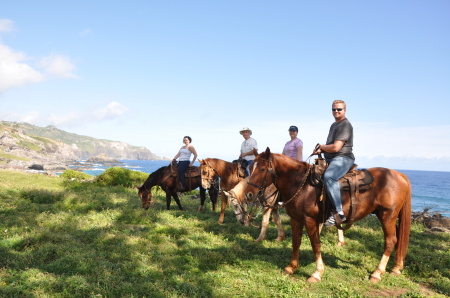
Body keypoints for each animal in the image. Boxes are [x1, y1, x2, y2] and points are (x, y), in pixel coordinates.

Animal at [243, 148, 412, 282]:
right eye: (251, 167)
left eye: (262, 169)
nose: (249, 194)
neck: (301, 184)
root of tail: (400, 174)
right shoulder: (295, 219)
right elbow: (296, 242)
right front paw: (291, 267)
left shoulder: (310, 220)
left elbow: (315, 244)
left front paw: (317, 273)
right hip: (390, 217)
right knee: (398, 239)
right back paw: (396, 268)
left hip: (387, 216)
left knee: (390, 240)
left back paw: (377, 273)